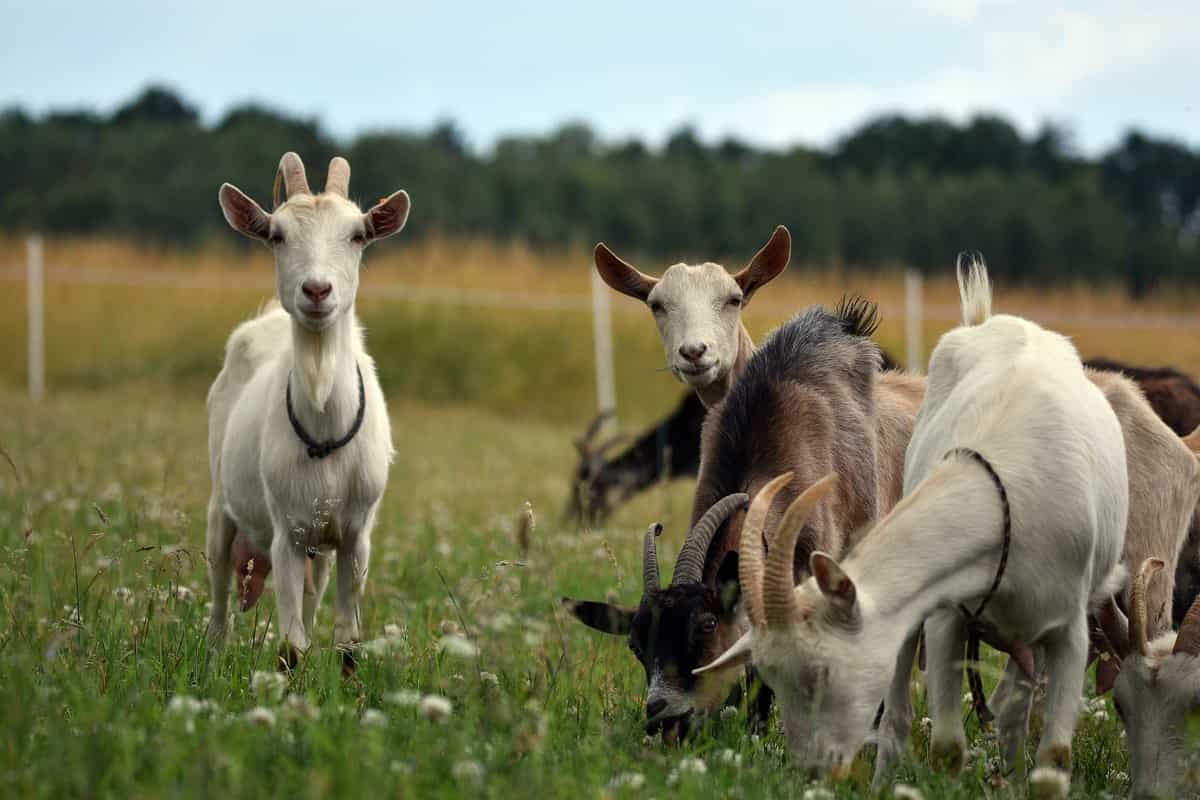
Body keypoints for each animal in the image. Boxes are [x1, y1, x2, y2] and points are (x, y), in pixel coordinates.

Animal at [207, 152, 409, 668]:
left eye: (357, 235)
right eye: (277, 235)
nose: (317, 290)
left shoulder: (357, 536)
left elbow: (347, 643)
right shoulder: (288, 533)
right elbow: (291, 647)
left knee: (312, 597)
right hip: (221, 501)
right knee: (218, 585)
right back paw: (213, 654)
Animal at [698, 256, 1129, 787]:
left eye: (820, 672)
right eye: (773, 677)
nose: (815, 770)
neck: (1012, 499)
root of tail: (984, 319)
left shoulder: (1070, 631)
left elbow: (1054, 757)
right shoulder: (947, 613)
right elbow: (946, 747)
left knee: (1012, 711)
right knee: (902, 714)